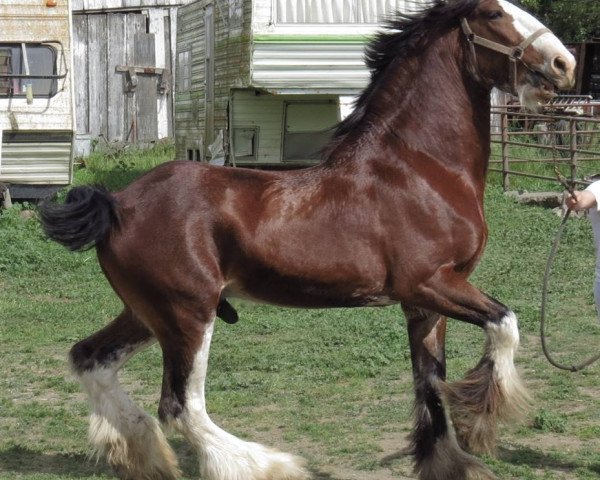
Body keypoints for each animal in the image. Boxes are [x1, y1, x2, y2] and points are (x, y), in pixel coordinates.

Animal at [39, 1, 576, 478]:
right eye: (493, 13)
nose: (564, 64)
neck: (419, 171)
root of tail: (116, 204)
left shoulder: (424, 306)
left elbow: (430, 384)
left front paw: (449, 461)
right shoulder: (429, 284)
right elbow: (506, 325)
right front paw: (482, 415)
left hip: (147, 312)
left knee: (90, 359)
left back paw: (143, 455)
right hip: (187, 313)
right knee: (180, 405)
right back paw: (264, 466)